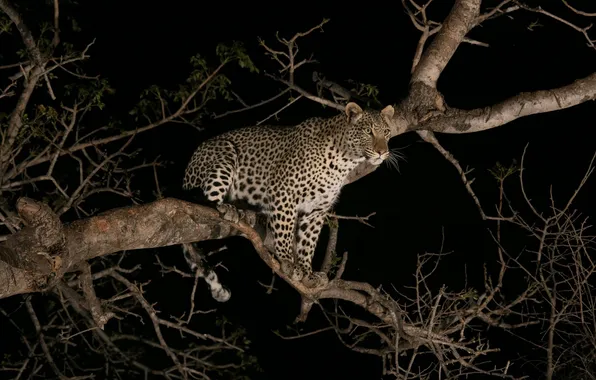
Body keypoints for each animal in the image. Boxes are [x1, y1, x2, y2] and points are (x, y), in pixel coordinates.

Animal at [182, 101, 396, 288]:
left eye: (386, 132)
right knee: (203, 200)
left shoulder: (316, 210)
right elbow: (285, 228)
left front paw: (307, 272)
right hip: (223, 154)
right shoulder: (285, 192)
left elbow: (308, 242)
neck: (344, 162)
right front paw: (288, 261)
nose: (382, 152)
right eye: (368, 131)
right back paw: (226, 208)